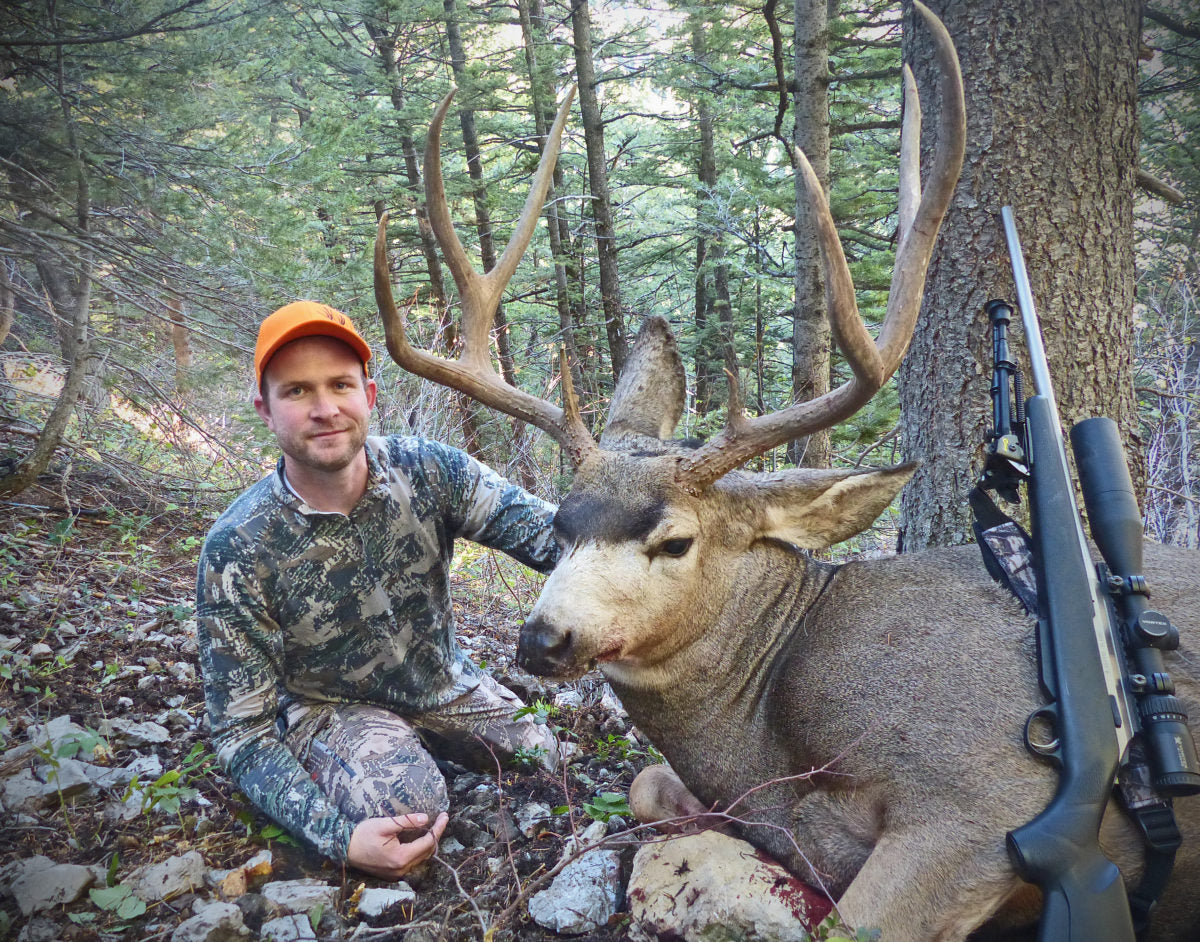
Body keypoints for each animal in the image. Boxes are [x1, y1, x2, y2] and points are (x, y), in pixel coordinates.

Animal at [374, 3, 1200, 936]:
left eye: (675, 541)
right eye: (559, 522)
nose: (543, 638)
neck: (767, 728)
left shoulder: (982, 795)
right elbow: (648, 782)